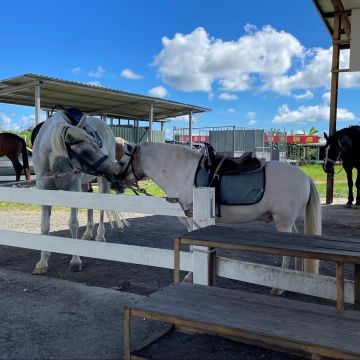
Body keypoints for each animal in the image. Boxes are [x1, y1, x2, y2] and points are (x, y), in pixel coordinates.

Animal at [31, 111, 121, 274]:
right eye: (84, 151)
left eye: (95, 143)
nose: (113, 169)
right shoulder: (44, 190)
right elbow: (45, 226)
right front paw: (42, 262)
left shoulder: (74, 189)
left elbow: (73, 224)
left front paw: (75, 260)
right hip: (85, 184)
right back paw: (88, 234)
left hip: (101, 181)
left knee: (102, 208)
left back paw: (100, 236)